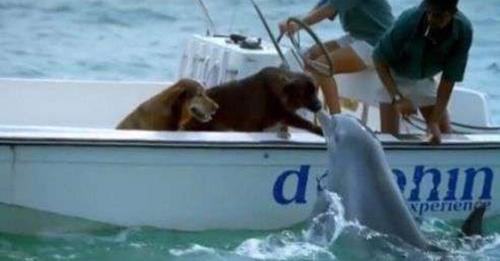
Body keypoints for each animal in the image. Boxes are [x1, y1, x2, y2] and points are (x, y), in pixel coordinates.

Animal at [182, 66, 322, 135]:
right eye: (305, 93)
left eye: (316, 90)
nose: (320, 106)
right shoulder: (282, 114)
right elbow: (305, 122)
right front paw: (319, 130)